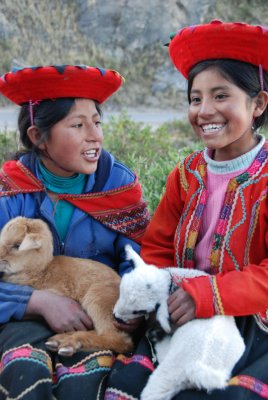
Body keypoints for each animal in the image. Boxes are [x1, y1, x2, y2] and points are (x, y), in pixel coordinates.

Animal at [113, 245, 245, 400]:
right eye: (121, 290)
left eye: (138, 311)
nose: (116, 316)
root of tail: (199, 370)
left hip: (171, 369)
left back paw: (156, 337)